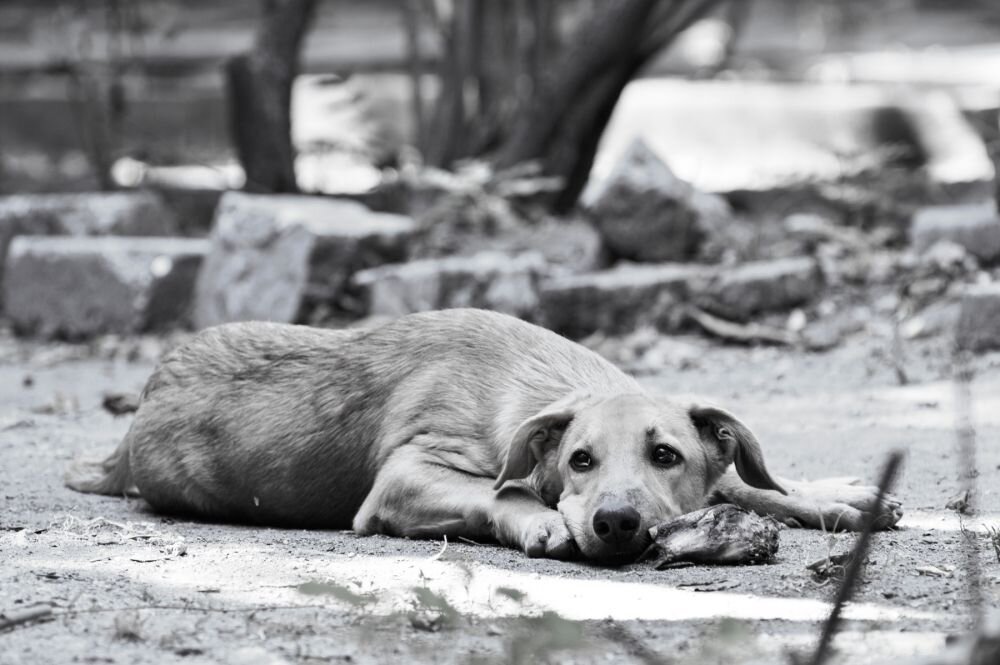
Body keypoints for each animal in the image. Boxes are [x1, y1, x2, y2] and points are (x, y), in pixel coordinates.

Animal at [66, 306, 904, 560]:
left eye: (666, 454)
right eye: (579, 460)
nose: (614, 521)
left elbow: (746, 479)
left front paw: (838, 496)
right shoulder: (401, 480)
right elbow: (496, 491)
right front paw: (539, 518)